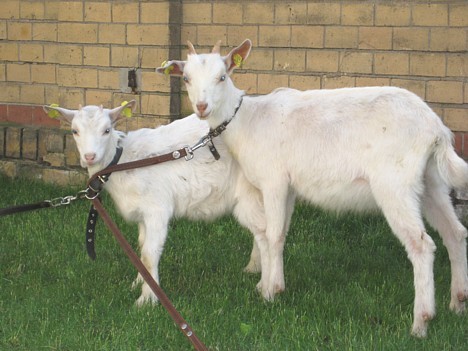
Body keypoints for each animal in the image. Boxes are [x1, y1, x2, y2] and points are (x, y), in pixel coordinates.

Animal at [43, 100, 266, 306]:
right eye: (74, 131)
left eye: (107, 130)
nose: (90, 157)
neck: (124, 161)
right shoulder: (143, 214)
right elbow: (142, 248)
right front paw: (139, 283)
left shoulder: (157, 209)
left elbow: (150, 253)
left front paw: (147, 299)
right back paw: (253, 268)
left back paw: (265, 287)